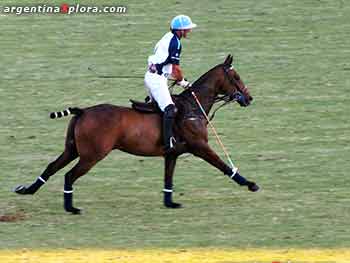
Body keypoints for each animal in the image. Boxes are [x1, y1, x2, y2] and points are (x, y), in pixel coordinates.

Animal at [14, 55, 260, 214]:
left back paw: (27, 190)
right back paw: (70, 207)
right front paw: (249, 184)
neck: (193, 107)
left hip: (72, 149)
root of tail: (82, 111)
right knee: (69, 175)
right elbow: (223, 165)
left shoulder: (172, 154)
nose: (249, 98)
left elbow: (168, 178)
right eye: (236, 77)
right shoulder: (200, 147)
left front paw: (170, 203)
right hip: (92, 155)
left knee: (51, 167)